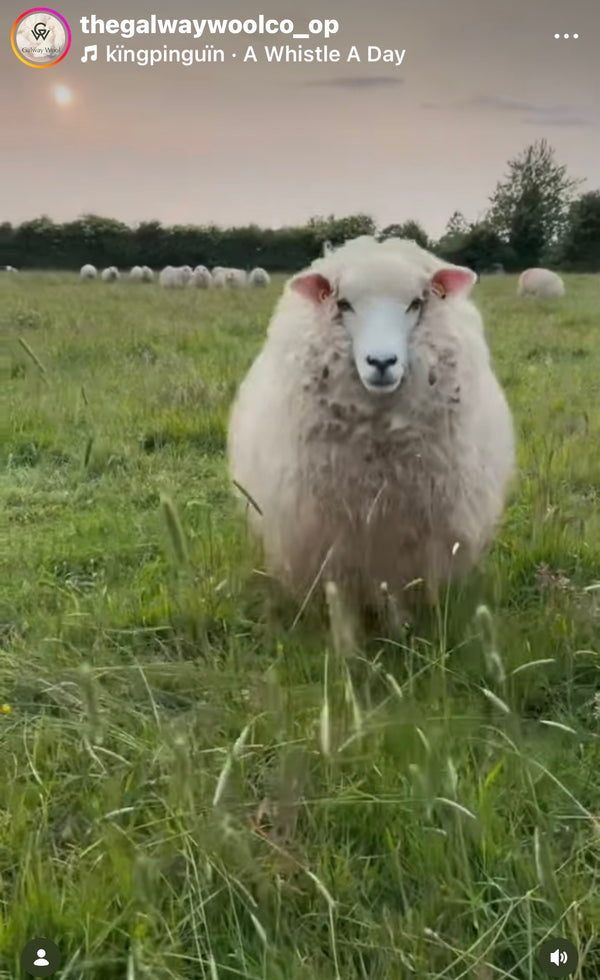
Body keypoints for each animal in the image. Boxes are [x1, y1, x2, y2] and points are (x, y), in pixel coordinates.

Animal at [227, 235, 515, 616]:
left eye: (416, 303)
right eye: (344, 304)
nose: (381, 362)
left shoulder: (411, 544)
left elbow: (399, 601)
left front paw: (403, 625)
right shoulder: (333, 538)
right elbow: (343, 603)